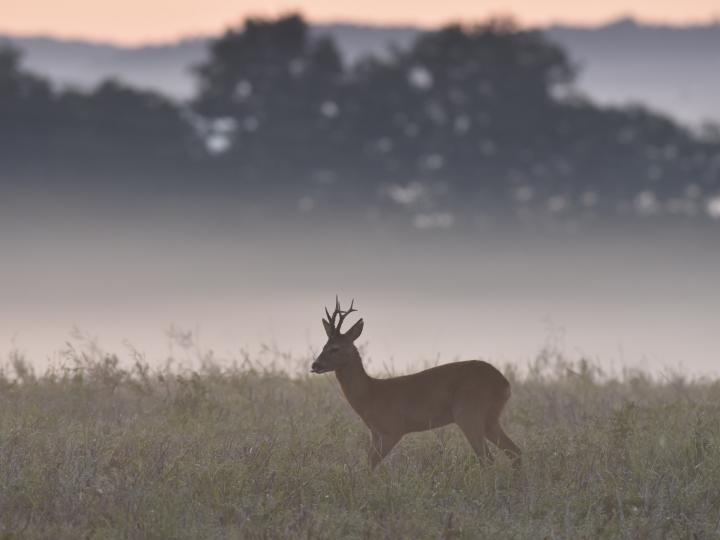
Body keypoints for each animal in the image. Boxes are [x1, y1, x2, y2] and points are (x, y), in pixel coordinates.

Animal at [312, 298, 520, 470]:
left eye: (335, 348)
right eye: (323, 346)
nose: (315, 365)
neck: (371, 394)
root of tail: (504, 383)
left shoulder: (393, 429)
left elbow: (370, 465)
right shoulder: (375, 433)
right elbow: (368, 464)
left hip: (469, 413)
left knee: (488, 459)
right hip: (490, 418)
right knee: (515, 451)